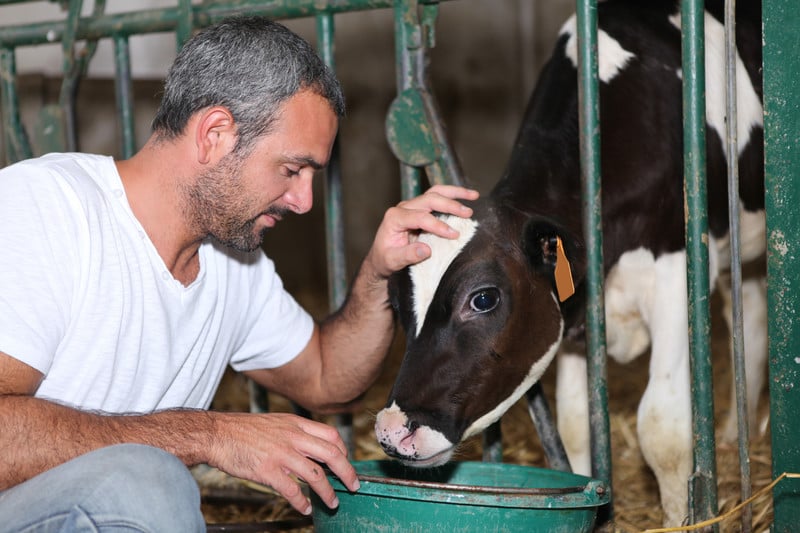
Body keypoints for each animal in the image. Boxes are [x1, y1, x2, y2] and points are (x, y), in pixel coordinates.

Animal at [374, 0, 764, 524]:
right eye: (398, 306)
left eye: (483, 299)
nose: (393, 430)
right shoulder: (576, 314)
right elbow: (578, 427)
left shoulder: (673, 269)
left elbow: (662, 429)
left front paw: (681, 521)